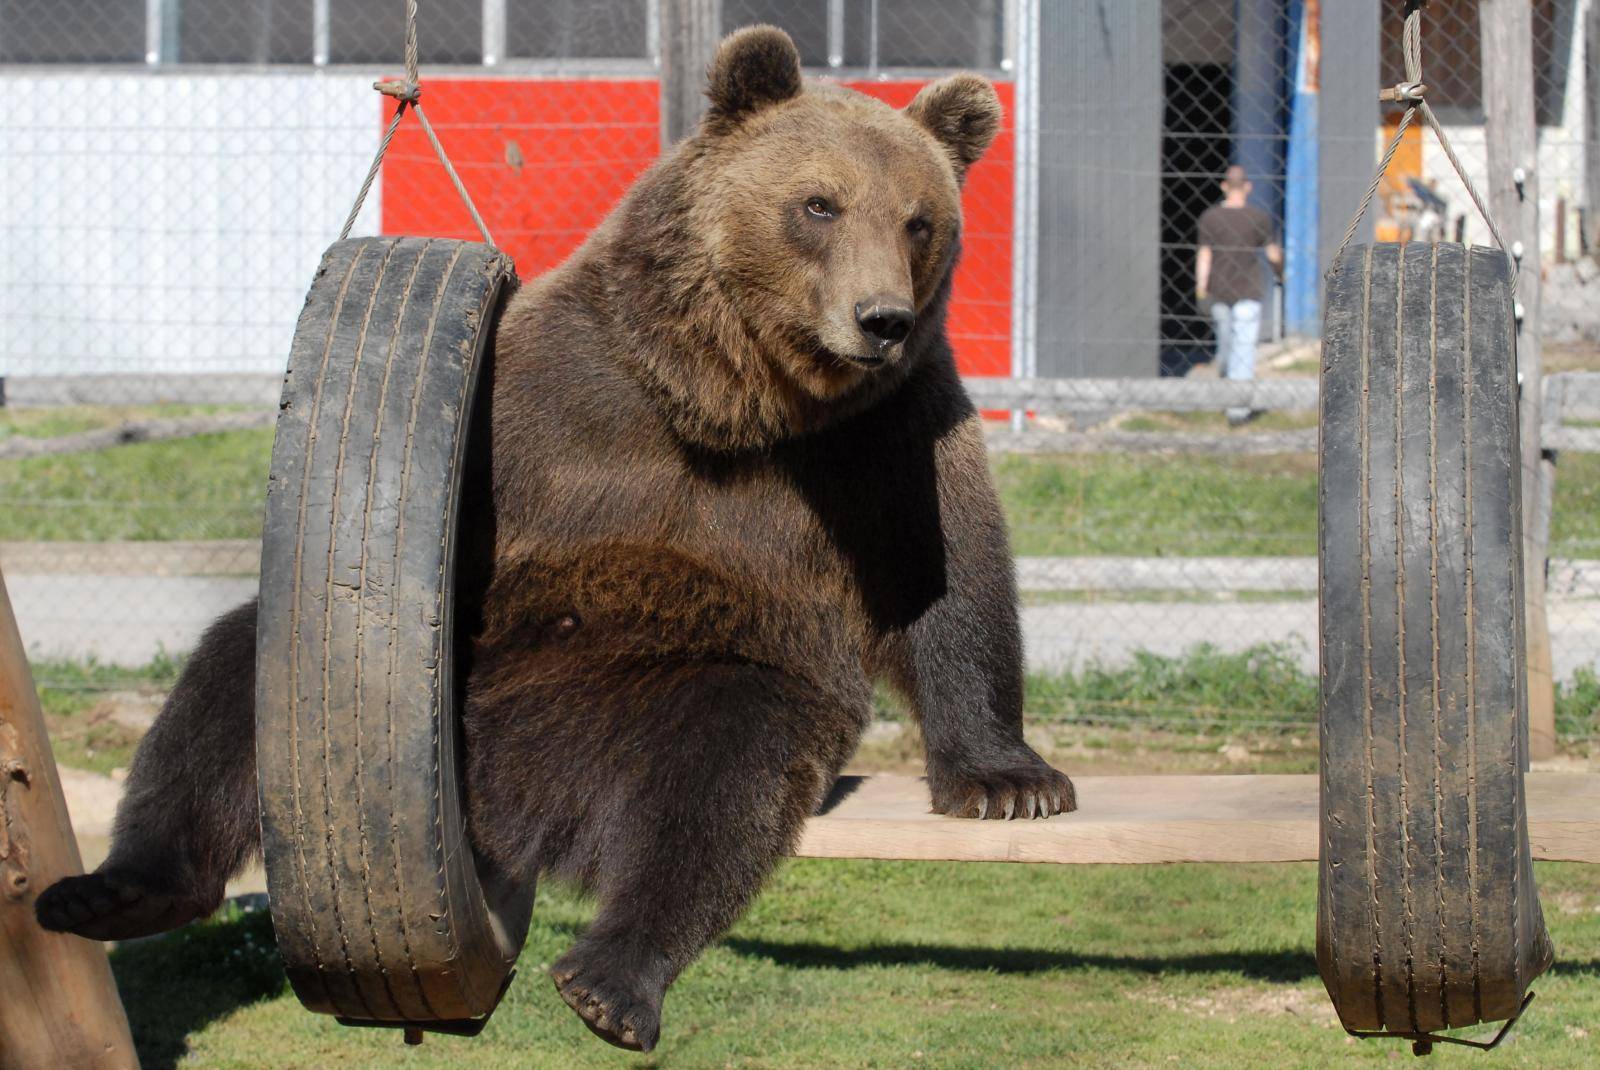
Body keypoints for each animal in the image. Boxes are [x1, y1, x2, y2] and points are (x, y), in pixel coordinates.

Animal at [37, 24, 1081, 1049]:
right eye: (819, 203)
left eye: (918, 219)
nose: (881, 319)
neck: (731, 399)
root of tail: (508, 812)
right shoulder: (558, 389)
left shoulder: (883, 437)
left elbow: (947, 584)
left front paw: (1010, 780)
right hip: (431, 674)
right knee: (231, 680)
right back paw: (114, 888)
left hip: (656, 694)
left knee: (718, 778)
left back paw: (610, 981)